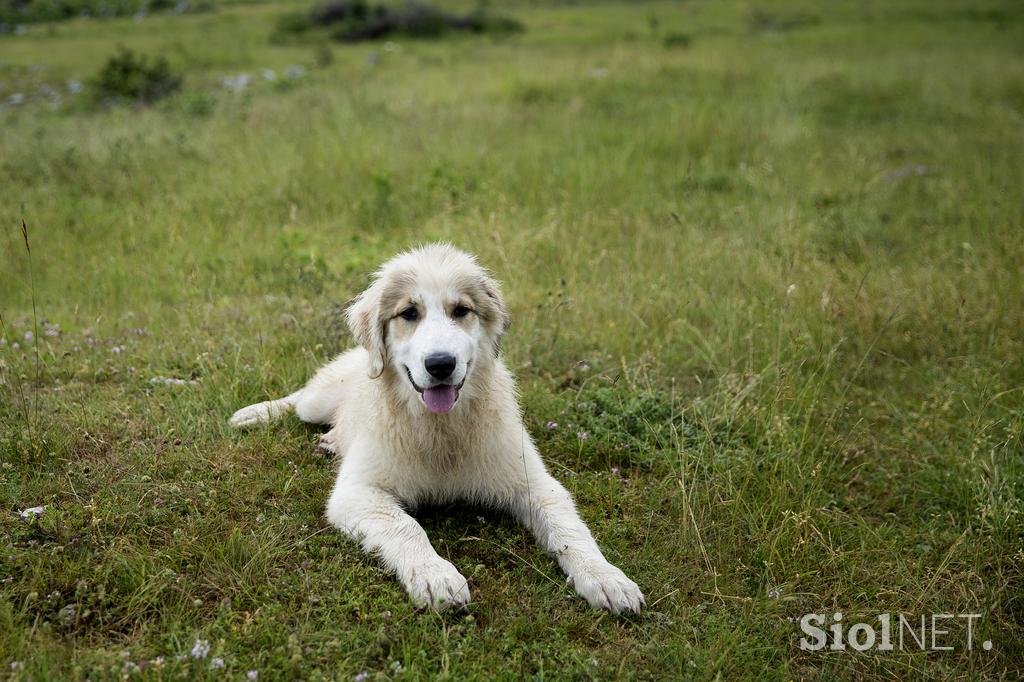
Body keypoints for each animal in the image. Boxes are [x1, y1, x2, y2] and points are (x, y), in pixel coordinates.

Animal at [232, 242, 643, 610]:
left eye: (461, 310)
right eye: (408, 313)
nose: (441, 364)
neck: (440, 428)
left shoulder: (536, 484)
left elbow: (570, 530)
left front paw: (606, 577)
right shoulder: (357, 492)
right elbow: (406, 527)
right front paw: (436, 576)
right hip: (318, 402)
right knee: (301, 397)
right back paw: (255, 413)